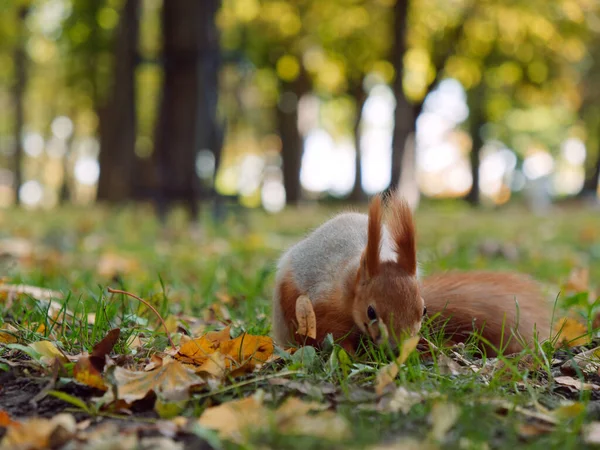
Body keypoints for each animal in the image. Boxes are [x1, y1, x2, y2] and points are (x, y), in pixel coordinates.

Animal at [272, 192, 552, 356]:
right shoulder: (319, 307)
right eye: (371, 312)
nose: (400, 349)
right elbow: (329, 337)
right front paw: (349, 355)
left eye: (424, 310)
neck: (349, 284)